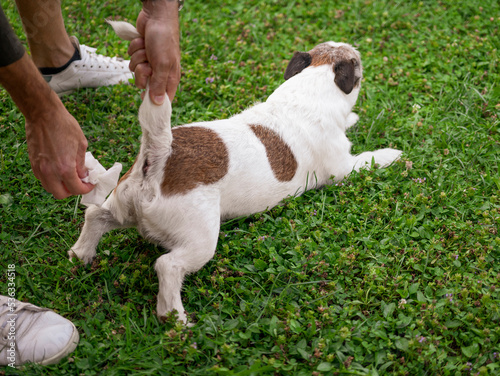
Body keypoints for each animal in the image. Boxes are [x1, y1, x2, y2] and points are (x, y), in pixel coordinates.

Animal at [69, 22, 402, 324]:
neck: (308, 88)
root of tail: (160, 156)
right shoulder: (342, 168)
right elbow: (369, 159)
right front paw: (390, 154)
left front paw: (353, 119)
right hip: (199, 238)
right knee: (167, 265)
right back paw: (174, 318)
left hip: (124, 205)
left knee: (95, 215)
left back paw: (80, 254)